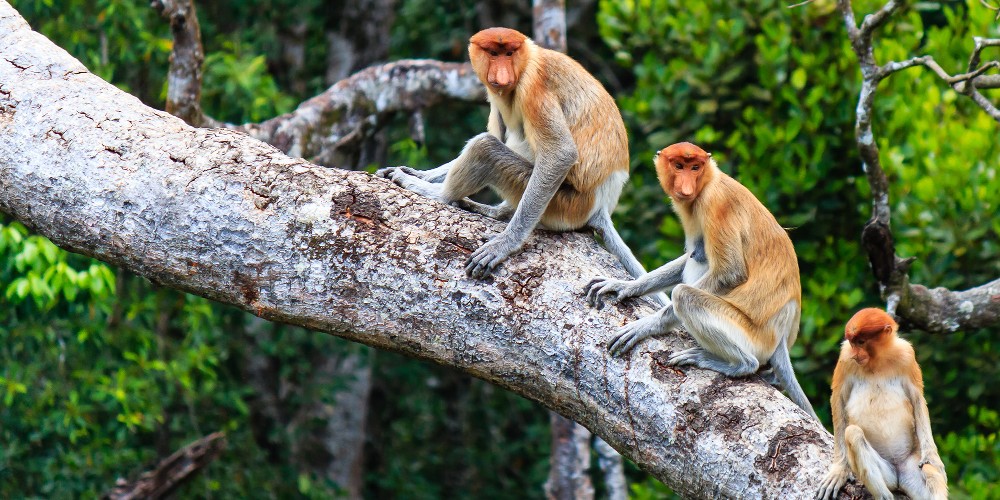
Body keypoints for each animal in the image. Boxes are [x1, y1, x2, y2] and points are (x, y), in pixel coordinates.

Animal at [376, 28, 664, 304]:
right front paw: (419, 172)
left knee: (486, 147)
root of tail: (601, 205)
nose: (502, 76)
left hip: (565, 205)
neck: (527, 60)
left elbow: (560, 153)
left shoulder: (532, 88)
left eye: (509, 53)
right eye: (493, 53)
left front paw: (503, 245)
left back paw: (438, 194)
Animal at [584, 143, 816, 420]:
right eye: (678, 166)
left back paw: (737, 364)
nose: (686, 188)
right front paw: (624, 286)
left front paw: (647, 326)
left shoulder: (714, 204)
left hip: (751, 334)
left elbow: (730, 273)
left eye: (695, 167)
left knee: (685, 294)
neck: (709, 181)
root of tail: (780, 335)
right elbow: (690, 255)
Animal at [816, 308, 948, 500]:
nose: (856, 355)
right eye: (852, 343)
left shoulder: (907, 355)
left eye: (861, 342)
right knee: (853, 433)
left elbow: (917, 399)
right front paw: (839, 471)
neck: (876, 360)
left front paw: (933, 458)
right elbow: (838, 400)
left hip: (911, 465)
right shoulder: (845, 358)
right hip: (888, 475)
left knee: (928, 469)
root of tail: (898, 472)